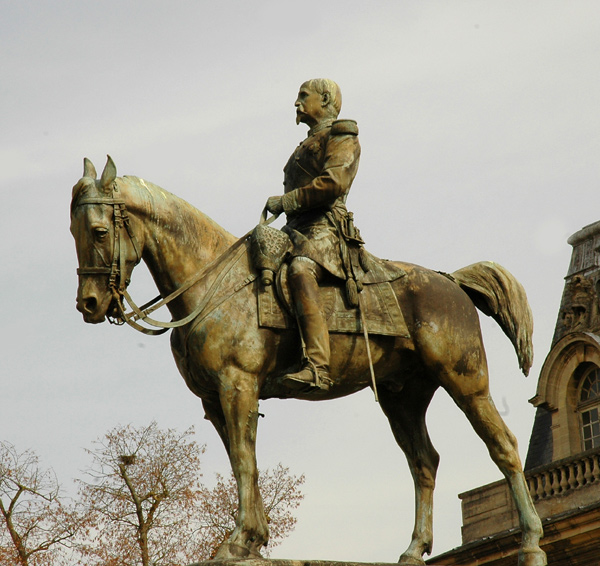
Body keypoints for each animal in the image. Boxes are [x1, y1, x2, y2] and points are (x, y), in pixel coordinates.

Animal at [70, 158, 548, 566]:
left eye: (98, 231)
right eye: (73, 232)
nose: (88, 304)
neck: (212, 284)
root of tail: (451, 281)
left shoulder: (238, 385)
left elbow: (243, 458)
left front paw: (239, 540)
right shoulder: (214, 400)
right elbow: (243, 462)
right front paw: (253, 538)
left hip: (465, 381)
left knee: (503, 447)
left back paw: (530, 542)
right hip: (403, 396)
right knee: (423, 462)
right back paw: (414, 549)